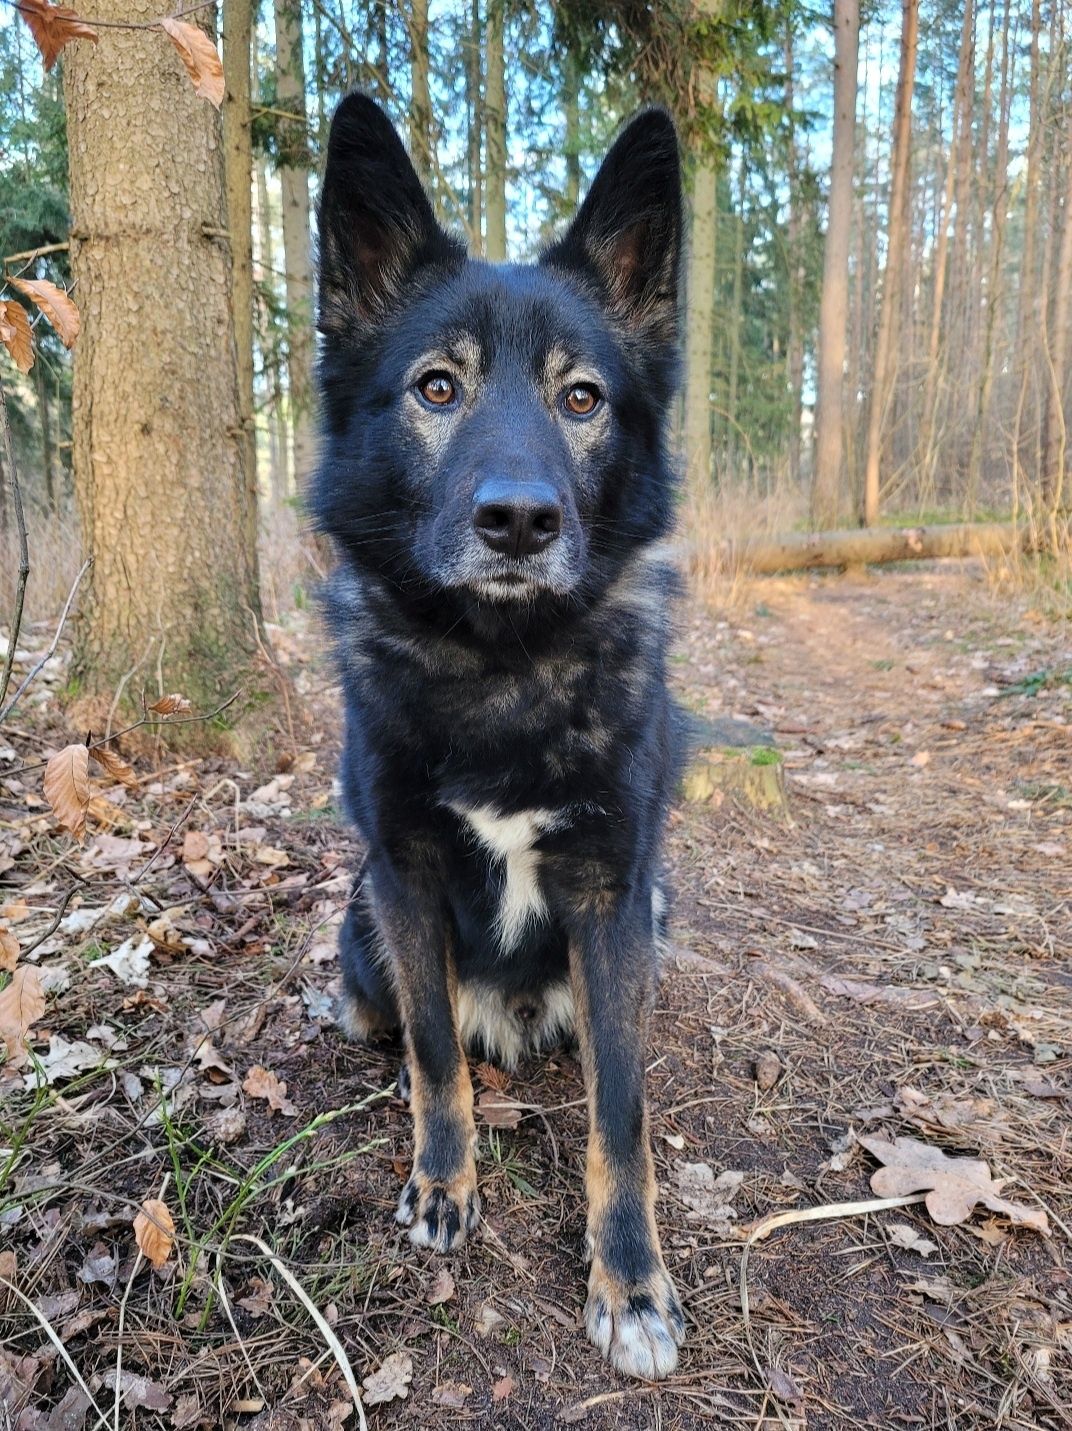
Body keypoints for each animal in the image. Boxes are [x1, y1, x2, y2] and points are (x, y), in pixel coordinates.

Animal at [313, 95, 686, 1379]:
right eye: (437, 389)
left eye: (582, 400)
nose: (518, 520)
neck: (502, 671)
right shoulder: (404, 874)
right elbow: (434, 1055)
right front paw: (444, 1182)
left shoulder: (613, 898)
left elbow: (623, 1110)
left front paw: (630, 1279)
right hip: (359, 927)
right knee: (400, 1020)